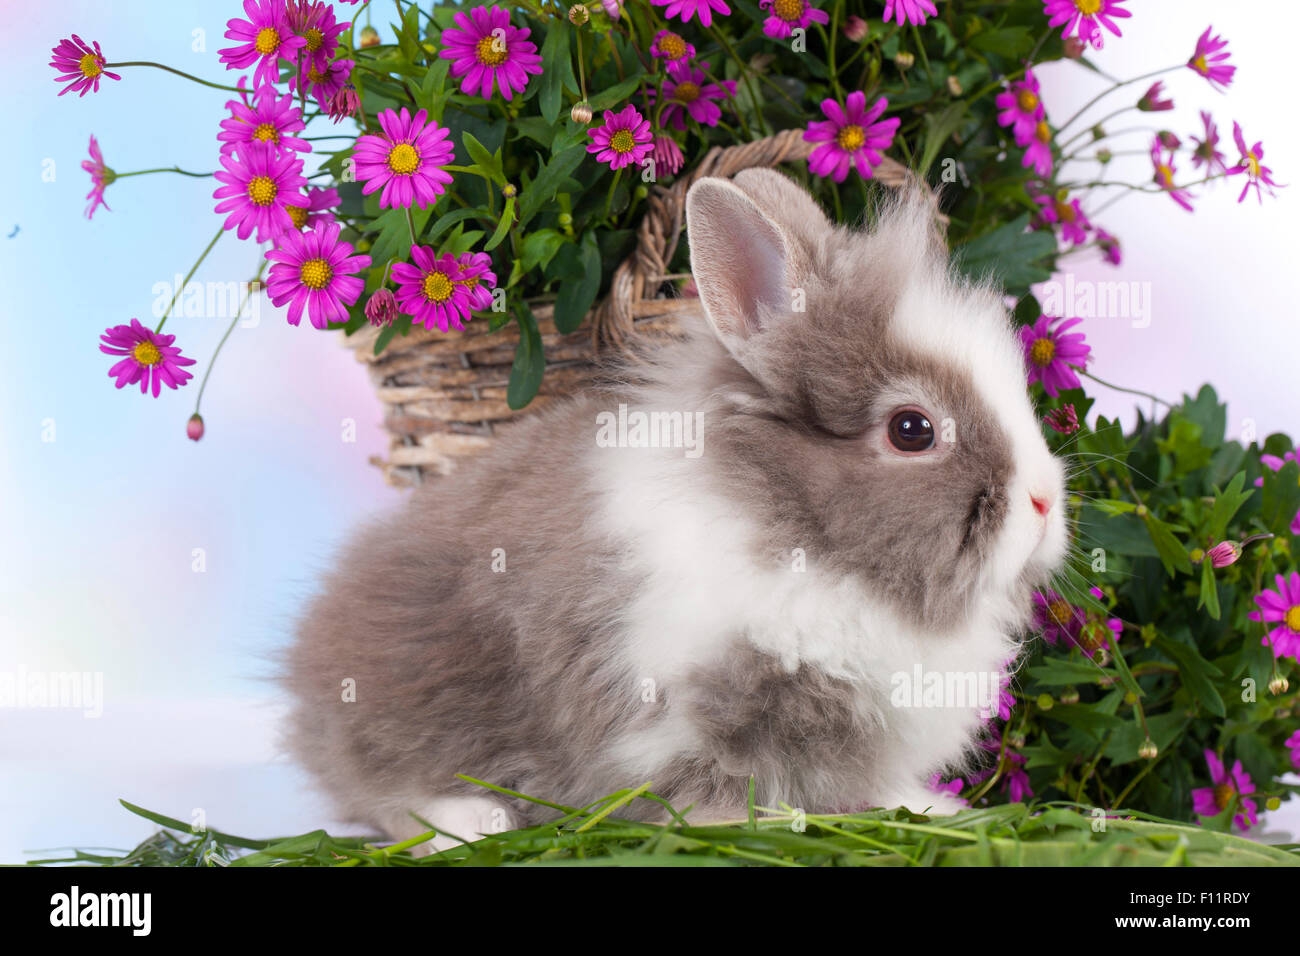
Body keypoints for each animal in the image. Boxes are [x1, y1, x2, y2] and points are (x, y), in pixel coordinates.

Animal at [283, 168, 1068, 849]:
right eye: (912, 429)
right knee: (389, 796)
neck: (802, 535)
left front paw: (934, 810)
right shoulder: (681, 715)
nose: (1044, 500)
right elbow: (714, 785)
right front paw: (750, 826)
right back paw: (476, 820)